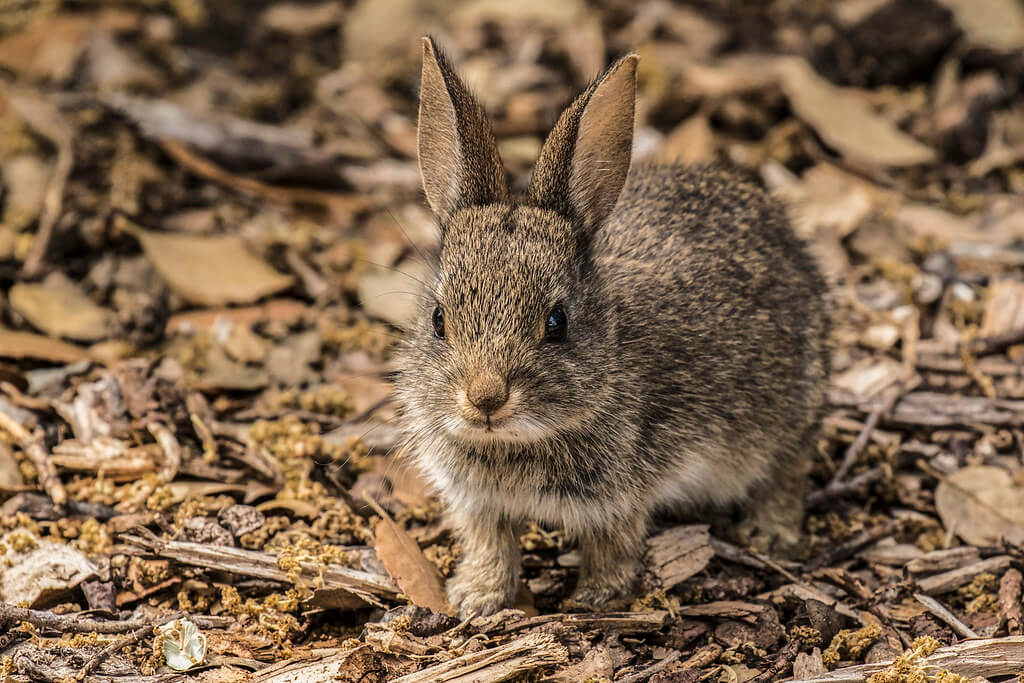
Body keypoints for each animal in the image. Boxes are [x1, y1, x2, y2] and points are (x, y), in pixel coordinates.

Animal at [393, 37, 831, 618]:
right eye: (439, 320)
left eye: (557, 323)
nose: (485, 399)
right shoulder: (480, 504)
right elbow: (492, 545)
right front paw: (475, 598)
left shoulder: (619, 497)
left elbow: (613, 547)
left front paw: (595, 599)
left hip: (786, 414)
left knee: (787, 468)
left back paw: (771, 533)